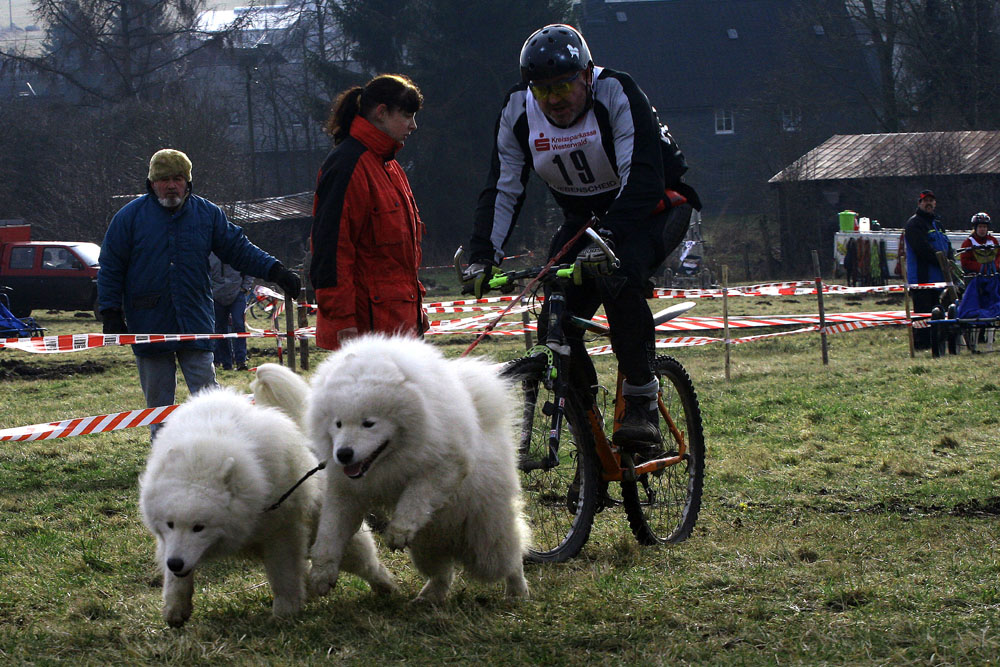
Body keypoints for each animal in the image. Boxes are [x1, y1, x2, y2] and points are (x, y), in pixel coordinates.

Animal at [138, 368, 394, 628]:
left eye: (199, 527)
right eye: (170, 524)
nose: (175, 563)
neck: (203, 454)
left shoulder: (280, 533)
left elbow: (283, 577)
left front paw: (284, 613)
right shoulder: (171, 545)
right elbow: (176, 580)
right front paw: (175, 609)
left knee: (364, 561)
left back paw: (385, 585)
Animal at [306, 336, 532, 604]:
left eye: (368, 423)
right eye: (338, 423)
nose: (343, 454)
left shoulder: (445, 465)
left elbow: (416, 496)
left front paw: (398, 530)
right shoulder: (346, 492)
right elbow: (330, 532)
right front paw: (321, 575)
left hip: (485, 538)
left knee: (509, 559)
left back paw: (517, 592)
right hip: (427, 545)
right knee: (442, 573)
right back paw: (428, 597)